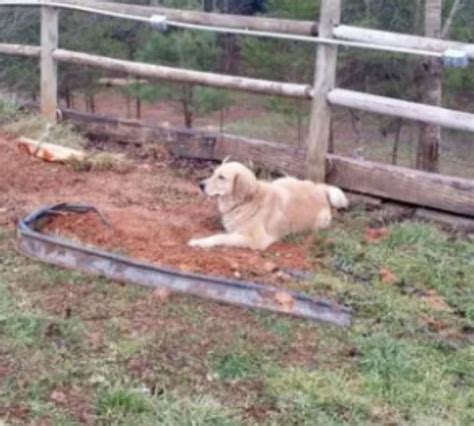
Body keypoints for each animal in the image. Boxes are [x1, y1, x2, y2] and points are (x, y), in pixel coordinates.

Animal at [189, 162, 348, 250]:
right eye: (214, 173)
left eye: (221, 177)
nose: (200, 184)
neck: (246, 201)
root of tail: (319, 189)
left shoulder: (256, 240)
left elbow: (220, 237)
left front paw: (199, 242)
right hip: (281, 181)